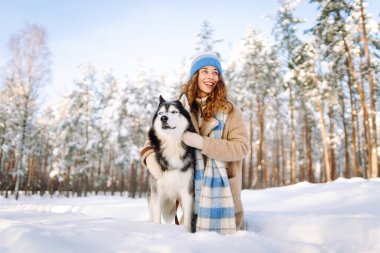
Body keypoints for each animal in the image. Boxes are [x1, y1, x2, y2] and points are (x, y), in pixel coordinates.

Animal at [148, 94, 196, 232]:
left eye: (174, 112)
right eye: (160, 113)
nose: (163, 118)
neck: (172, 144)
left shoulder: (187, 191)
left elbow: (187, 221)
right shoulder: (157, 192)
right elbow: (157, 219)